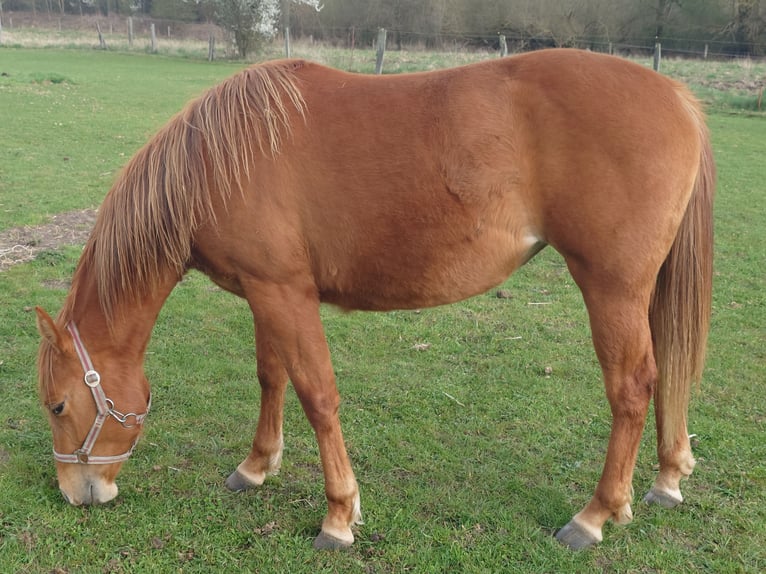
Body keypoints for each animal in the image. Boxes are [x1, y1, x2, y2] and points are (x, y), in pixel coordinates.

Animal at [35, 48, 714, 550]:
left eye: (58, 404)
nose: (74, 493)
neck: (218, 162)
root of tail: (678, 96)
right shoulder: (265, 293)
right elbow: (271, 377)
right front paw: (256, 467)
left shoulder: (285, 293)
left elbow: (317, 396)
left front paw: (339, 516)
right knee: (667, 375)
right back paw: (667, 476)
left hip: (611, 288)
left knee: (632, 389)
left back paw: (595, 515)